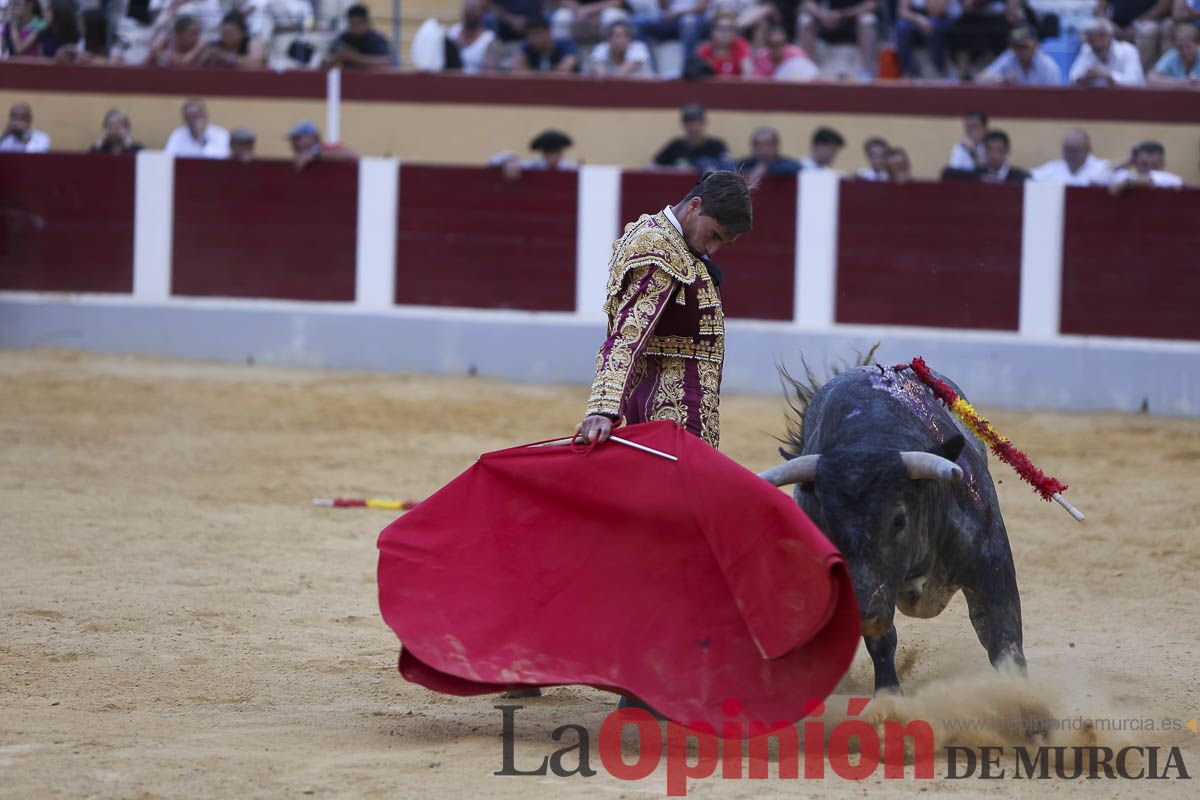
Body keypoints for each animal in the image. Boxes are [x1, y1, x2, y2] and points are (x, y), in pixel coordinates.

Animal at [763, 359, 1027, 690]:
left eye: (899, 520)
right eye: (827, 522)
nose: (865, 615)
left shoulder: (992, 563)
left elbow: (1005, 640)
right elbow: (882, 641)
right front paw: (888, 694)